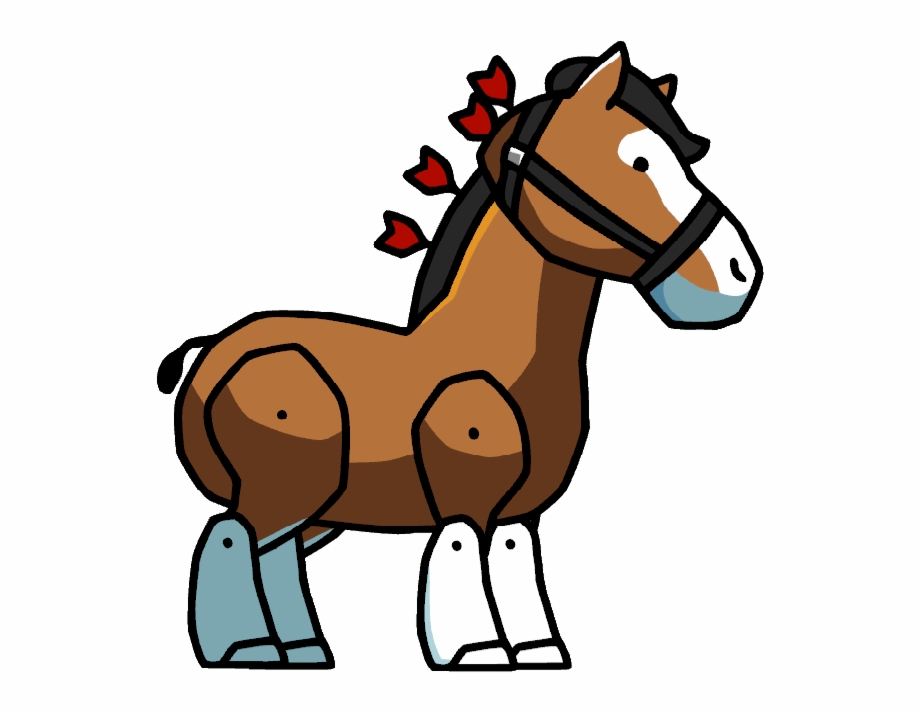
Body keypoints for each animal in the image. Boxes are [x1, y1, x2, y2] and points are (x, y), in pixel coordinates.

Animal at [157, 41, 762, 670]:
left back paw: (295, 648)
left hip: (319, 507)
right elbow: (458, 549)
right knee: (236, 536)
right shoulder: (465, 499)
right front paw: (474, 650)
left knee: (265, 549)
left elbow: (515, 559)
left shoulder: (520, 510)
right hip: (285, 487)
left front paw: (538, 650)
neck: (500, 352)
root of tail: (212, 349)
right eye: (640, 160)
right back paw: (252, 648)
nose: (738, 273)